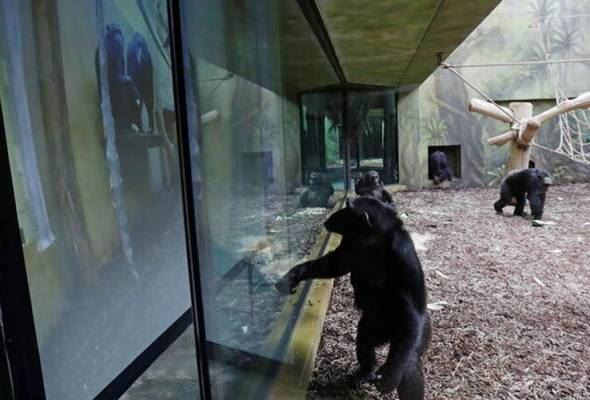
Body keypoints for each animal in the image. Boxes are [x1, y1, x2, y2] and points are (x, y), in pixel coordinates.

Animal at [276, 197, 432, 396]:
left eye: (347, 209)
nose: (334, 215)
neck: (372, 240)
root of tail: (389, 334)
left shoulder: (402, 253)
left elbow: (411, 306)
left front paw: (390, 377)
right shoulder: (348, 242)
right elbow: (333, 264)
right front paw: (293, 276)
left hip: (414, 331)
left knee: (410, 360)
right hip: (374, 324)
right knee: (365, 340)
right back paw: (365, 372)